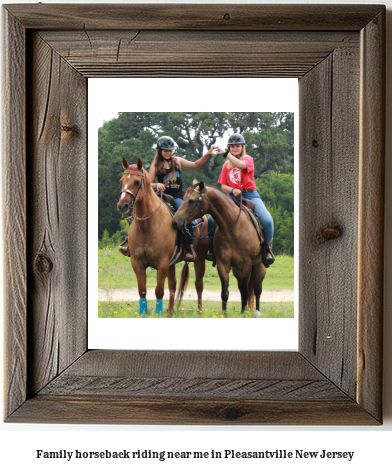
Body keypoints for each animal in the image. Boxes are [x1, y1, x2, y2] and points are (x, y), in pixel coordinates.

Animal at [116, 157, 208, 316]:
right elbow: (142, 290)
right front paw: (143, 313)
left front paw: (158, 313)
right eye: (121, 181)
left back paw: (200, 311)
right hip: (172, 264)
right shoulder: (137, 263)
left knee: (198, 285)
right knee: (173, 285)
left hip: (199, 259)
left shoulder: (162, 263)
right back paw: (170, 311)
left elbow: (159, 290)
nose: (123, 205)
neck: (147, 227)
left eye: (137, 182)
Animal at [172, 181, 266, 314]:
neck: (233, 227)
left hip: (259, 266)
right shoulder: (223, 264)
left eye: (191, 200)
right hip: (237, 270)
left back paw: (257, 312)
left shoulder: (246, 265)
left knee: (257, 289)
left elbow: (246, 292)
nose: (175, 222)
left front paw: (243, 314)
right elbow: (225, 293)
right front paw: (224, 314)